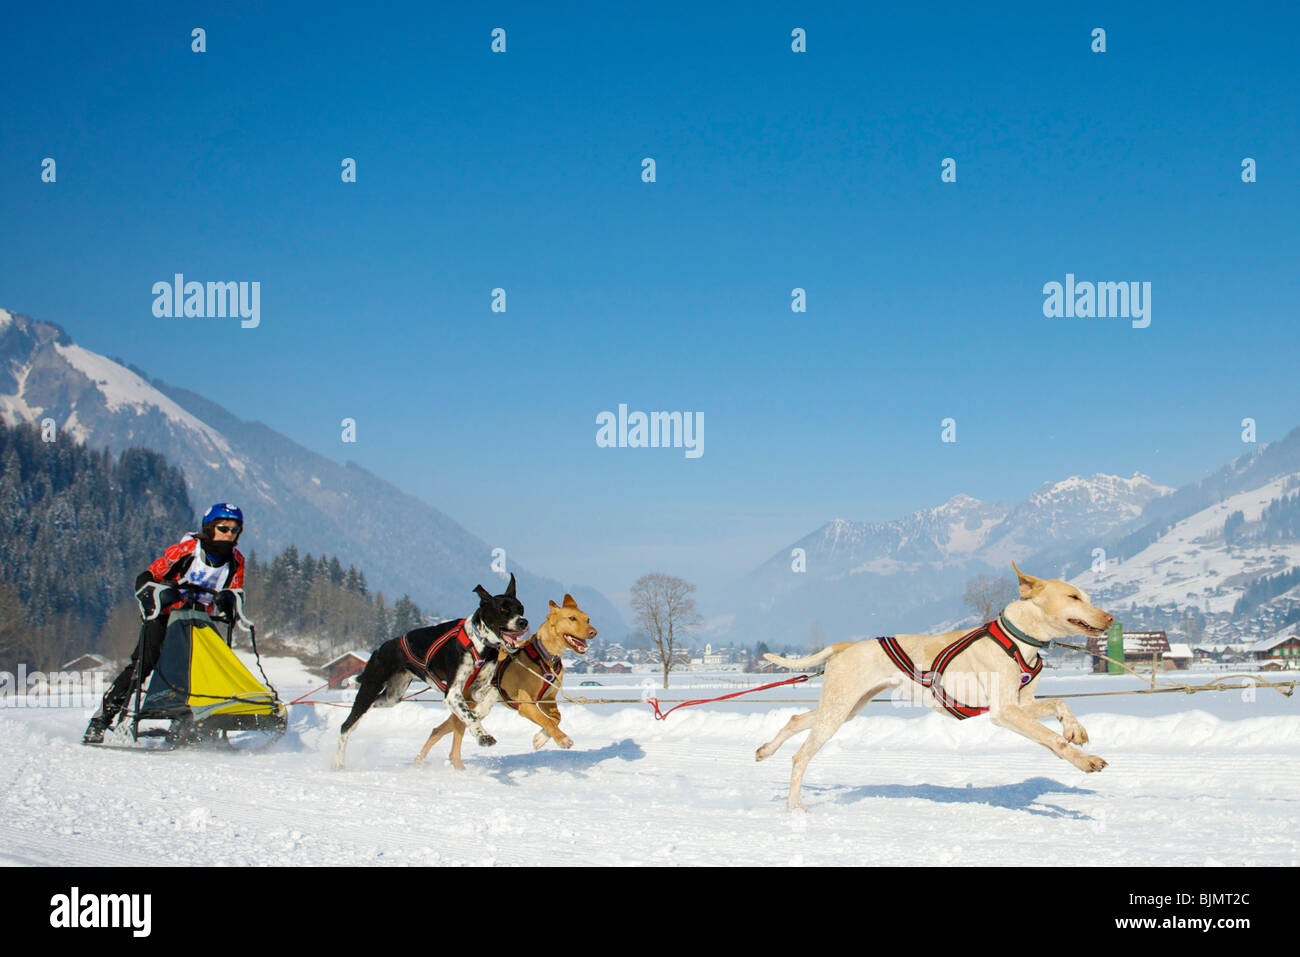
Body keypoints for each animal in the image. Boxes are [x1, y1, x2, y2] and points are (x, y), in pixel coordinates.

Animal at [332, 574, 530, 769]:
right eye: (503, 610)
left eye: (521, 608)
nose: (523, 621)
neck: (478, 642)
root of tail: (381, 648)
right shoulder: (452, 692)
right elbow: (468, 715)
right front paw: (483, 735)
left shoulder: (477, 688)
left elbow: (492, 692)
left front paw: (481, 711)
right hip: (370, 687)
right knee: (345, 726)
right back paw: (339, 762)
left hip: (391, 697)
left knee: (366, 710)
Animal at [413, 595, 595, 764]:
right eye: (572, 618)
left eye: (587, 619)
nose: (593, 632)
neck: (543, 656)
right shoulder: (526, 704)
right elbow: (547, 721)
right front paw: (562, 739)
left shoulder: (547, 700)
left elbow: (556, 718)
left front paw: (540, 739)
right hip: (466, 704)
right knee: (455, 735)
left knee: (439, 729)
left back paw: (420, 761)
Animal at [759, 564, 1112, 811]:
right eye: (1074, 597)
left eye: (1087, 597)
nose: (1110, 618)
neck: (1017, 641)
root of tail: (846, 646)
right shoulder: (1006, 712)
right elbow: (1052, 739)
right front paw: (1084, 760)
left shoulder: (1022, 704)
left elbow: (1061, 704)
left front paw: (1075, 729)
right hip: (837, 711)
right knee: (800, 757)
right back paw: (795, 807)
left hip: (845, 709)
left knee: (796, 720)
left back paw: (765, 749)